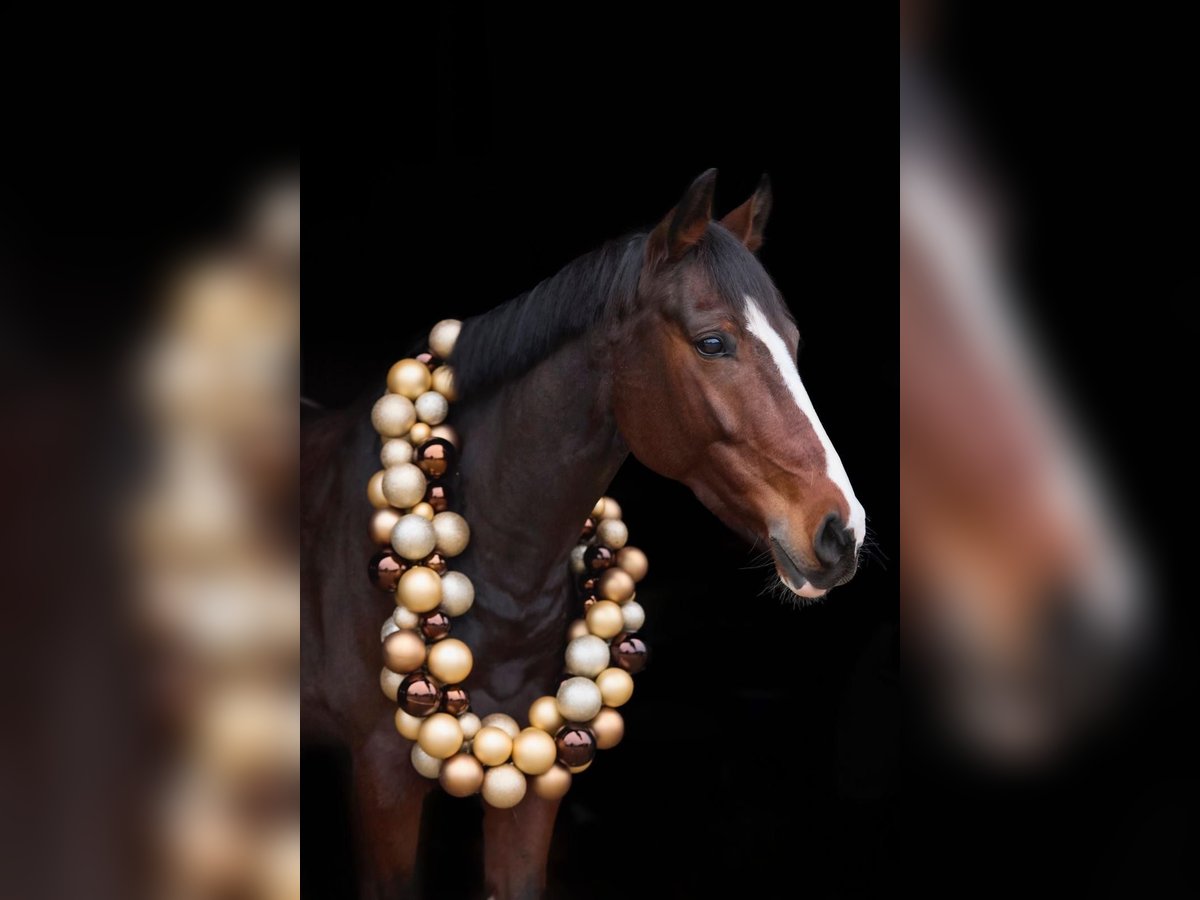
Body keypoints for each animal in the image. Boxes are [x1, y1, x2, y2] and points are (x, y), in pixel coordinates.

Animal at [302, 169, 865, 898]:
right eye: (714, 342)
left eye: (793, 343)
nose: (841, 531)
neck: (500, 582)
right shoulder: (381, 782)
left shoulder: (533, 791)